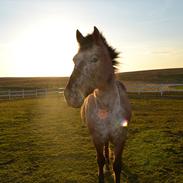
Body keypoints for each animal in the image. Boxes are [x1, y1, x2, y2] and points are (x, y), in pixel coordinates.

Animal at [64, 26, 132, 182]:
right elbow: (99, 160)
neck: (107, 108)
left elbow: (117, 165)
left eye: (94, 59)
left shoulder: (120, 138)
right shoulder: (97, 137)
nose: (70, 95)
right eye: (74, 59)